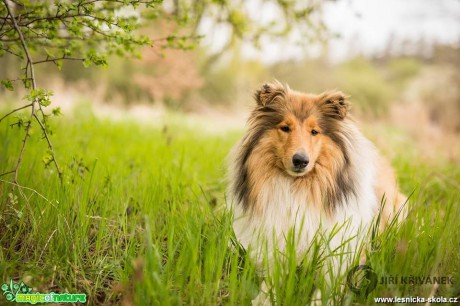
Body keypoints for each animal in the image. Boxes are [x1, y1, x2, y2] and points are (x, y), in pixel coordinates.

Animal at [227, 81, 406, 304]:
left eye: (314, 131)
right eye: (285, 128)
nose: (300, 161)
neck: (298, 187)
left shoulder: (340, 251)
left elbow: (326, 286)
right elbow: (270, 281)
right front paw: (263, 299)